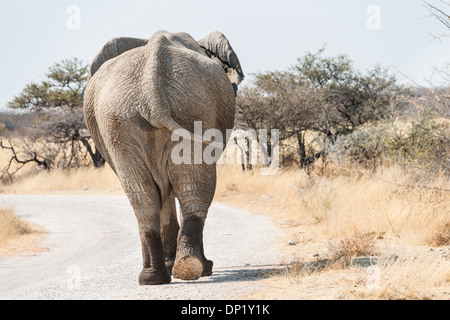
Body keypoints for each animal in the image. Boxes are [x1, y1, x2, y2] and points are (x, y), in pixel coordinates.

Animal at [84, 30, 246, 284]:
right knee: (182, 191)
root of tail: (152, 89)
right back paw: (179, 271)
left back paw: (165, 274)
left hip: (177, 111)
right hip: (140, 117)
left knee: (150, 197)